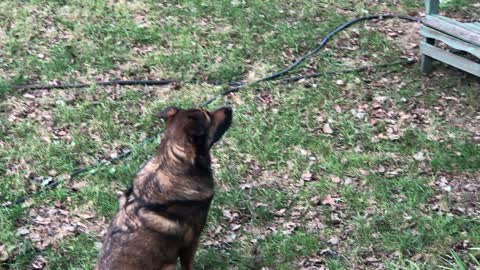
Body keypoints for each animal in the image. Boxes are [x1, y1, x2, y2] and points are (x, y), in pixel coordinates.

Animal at [96, 106, 232, 270]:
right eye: (209, 116)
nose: (229, 108)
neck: (171, 163)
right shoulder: (192, 241)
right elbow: (188, 265)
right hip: (168, 265)